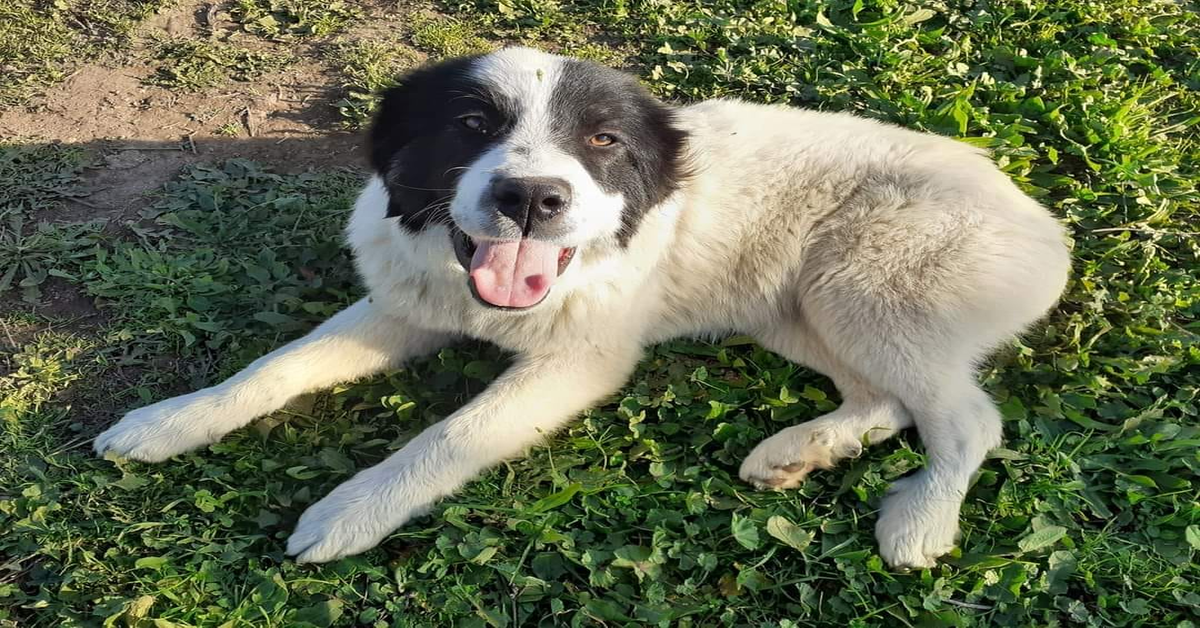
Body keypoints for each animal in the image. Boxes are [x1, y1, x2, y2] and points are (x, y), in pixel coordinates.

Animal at [93, 48, 1070, 569]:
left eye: (601, 140)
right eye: (472, 126)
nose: (531, 198)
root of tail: (1048, 228)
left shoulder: (575, 365)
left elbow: (444, 438)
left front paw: (348, 512)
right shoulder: (403, 305)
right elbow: (275, 366)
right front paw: (167, 422)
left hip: (863, 287)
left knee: (966, 419)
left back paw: (918, 520)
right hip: (796, 309)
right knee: (887, 399)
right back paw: (797, 453)